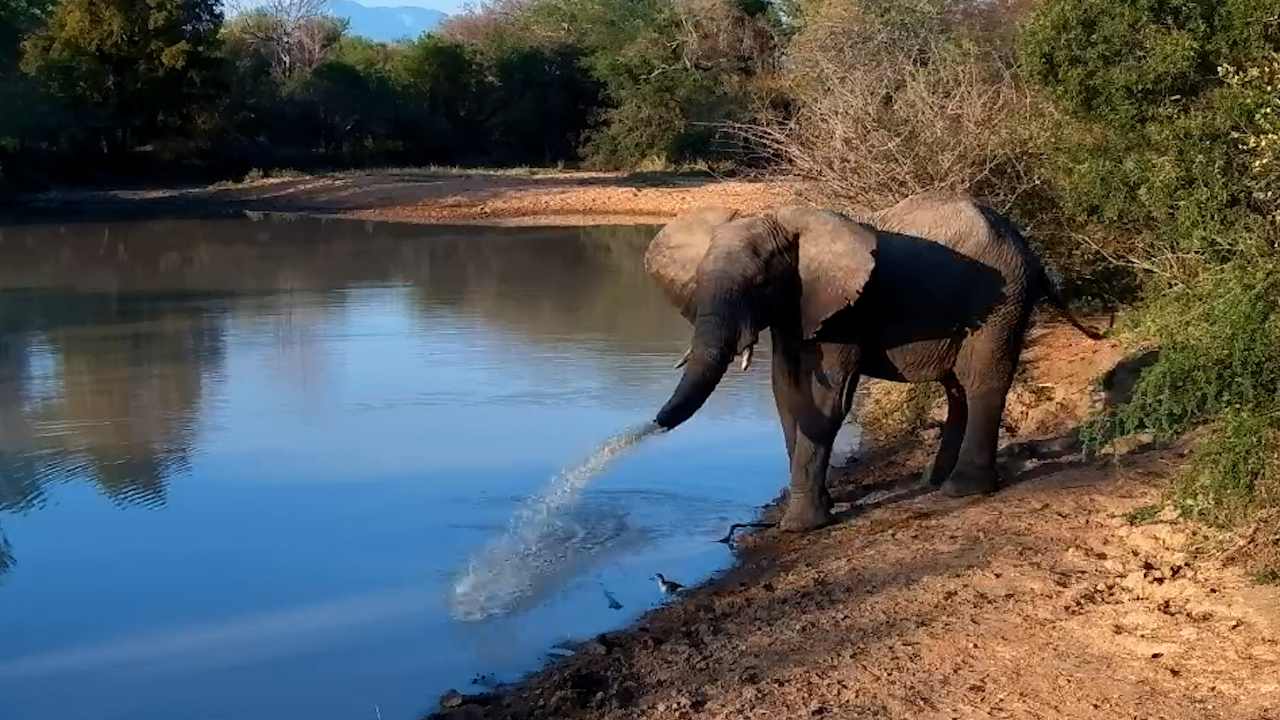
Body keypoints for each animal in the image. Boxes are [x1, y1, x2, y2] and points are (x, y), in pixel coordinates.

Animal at [644, 190, 1104, 532]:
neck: (789, 227)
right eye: (698, 281)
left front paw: (802, 525)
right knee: (956, 389)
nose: (651, 425)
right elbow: (787, 393)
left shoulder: (849, 311)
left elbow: (826, 401)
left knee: (981, 381)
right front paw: (822, 503)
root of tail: (1029, 248)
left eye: (759, 284)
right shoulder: (796, 308)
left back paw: (962, 490)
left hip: (1003, 301)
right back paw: (934, 480)